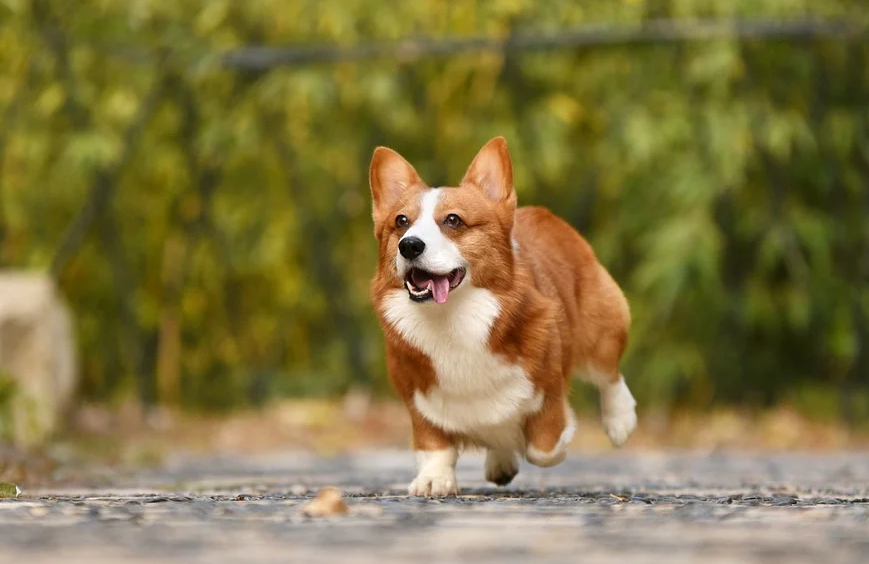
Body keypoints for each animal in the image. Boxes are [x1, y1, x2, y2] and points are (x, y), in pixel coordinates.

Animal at [368, 139, 636, 496]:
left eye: (453, 220)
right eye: (401, 221)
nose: (409, 245)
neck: (453, 320)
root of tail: (539, 213)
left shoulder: (548, 387)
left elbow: (544, 447)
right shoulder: (417, 398)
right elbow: (433, 444)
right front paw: (435, 479)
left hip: (600, 330)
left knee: (609, 374)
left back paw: (621, 420)